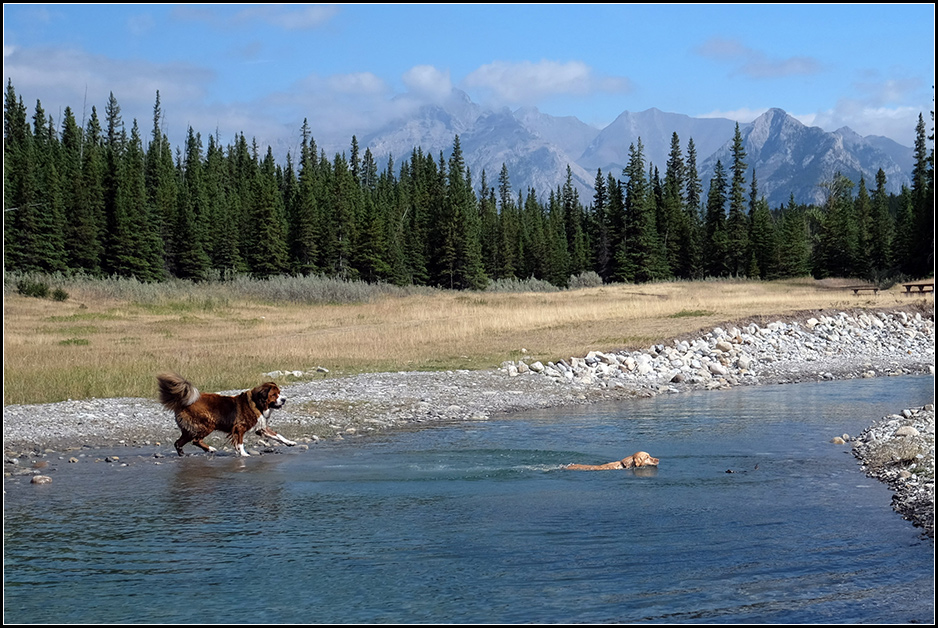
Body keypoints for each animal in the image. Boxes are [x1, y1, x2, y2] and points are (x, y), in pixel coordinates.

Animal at [157, 372, 294, 456]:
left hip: (190, 430)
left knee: (178, 442)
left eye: (279, 393)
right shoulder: (239, 428)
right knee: (196, 440)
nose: (284, 399)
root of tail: (183, 402)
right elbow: (240, 442)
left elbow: (277, 435)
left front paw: (289, 442)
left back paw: (184, 454)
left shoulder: (261, 428)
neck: (258, 404)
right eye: (274, 395)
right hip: (207, 424)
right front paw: (243, 454)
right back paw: (210, 449)